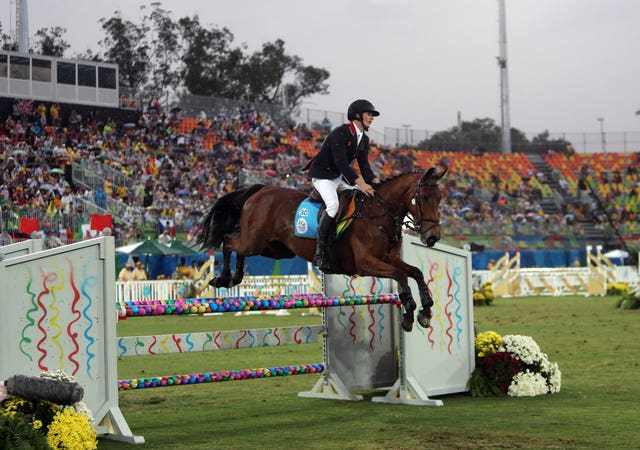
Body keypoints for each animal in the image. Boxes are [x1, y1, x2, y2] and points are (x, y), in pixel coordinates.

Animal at [198, 167, 448, 332]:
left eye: (440, 198)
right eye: (424, 197)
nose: (433, 237)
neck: (378, 214)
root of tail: (261, 190)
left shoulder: (388, 258)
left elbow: (415, 272)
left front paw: (425, 311)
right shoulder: (367, 263)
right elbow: (401, 276)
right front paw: (409, 310)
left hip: (275, 248)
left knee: (238, 246)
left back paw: (235, 277)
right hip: (255, 240)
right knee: (229, 241)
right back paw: (222, 278)